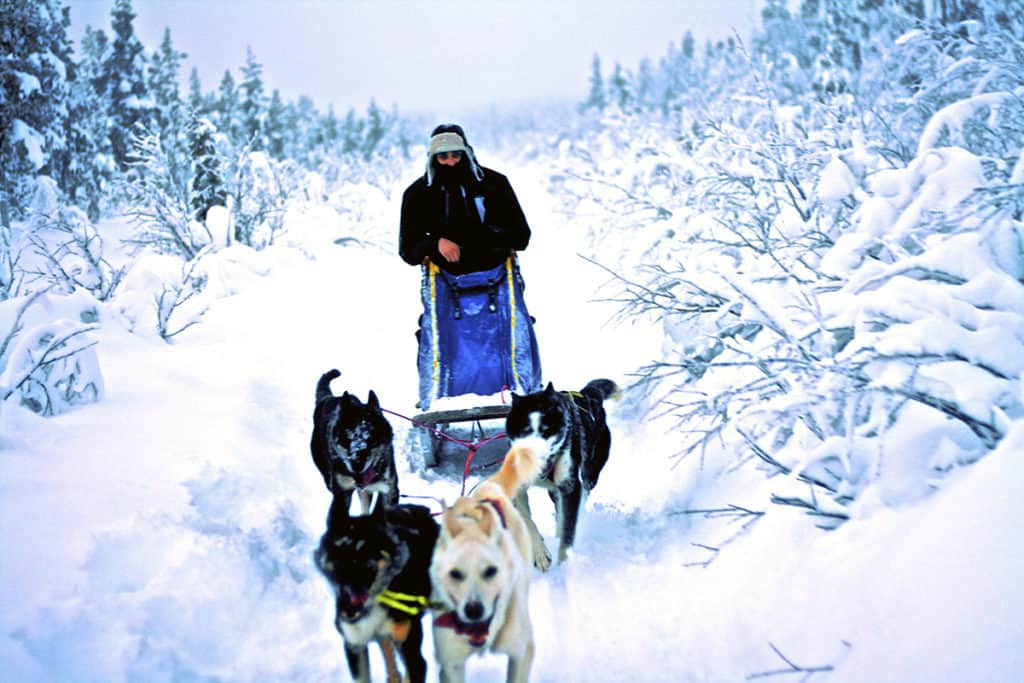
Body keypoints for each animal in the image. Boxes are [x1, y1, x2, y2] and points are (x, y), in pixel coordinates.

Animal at [309, 370, 397, 516]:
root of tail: (328, 397)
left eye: (371, 438)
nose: (356, 466)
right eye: (347, 438)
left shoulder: (389, 489)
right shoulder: (342, 493)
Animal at [430, 446, 544, 679]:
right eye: (455, 573)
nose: (474, 610)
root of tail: (489, 486)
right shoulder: (450, 664)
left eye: (491, 571)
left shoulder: (522, 652)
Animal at [503, 382, 614, 569]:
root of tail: (587, 395)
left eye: (547, 430)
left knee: (583, 493)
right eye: (525, 430)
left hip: (589, 472)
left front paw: (563, 566)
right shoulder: (518, 487)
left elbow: (568, 531)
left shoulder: (570, 487)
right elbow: (527, 520)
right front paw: (540, 553)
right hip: (554, 491)